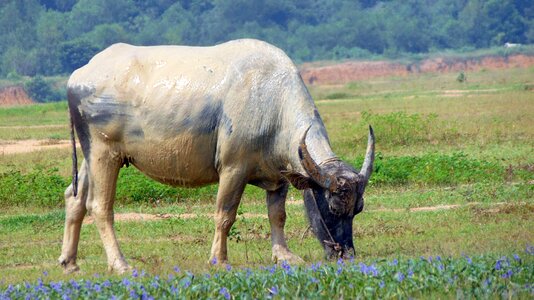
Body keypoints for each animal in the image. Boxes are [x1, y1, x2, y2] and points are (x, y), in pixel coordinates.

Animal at [59, 38, 376, 274]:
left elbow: (278, 215)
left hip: (89, 155)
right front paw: (219, 260)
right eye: (333, 206)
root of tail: (78, 76)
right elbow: (225, 215)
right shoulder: (233, 169)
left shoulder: (279, 176)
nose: (345, 254)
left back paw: (69, 262)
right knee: (100, 206)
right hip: (105, 153)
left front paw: (284, 255)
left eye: (358, 208)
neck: (273, 103)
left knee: (74, 198)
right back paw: (120, 264)